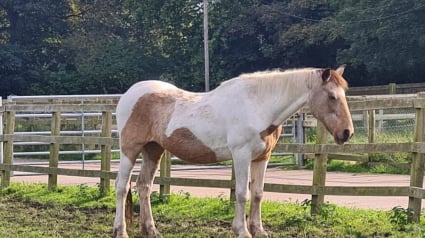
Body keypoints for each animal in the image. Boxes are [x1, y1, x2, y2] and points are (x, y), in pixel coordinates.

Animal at [111, 65, 352, 238]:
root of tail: (129, 94)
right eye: (332, 96)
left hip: (153, 150)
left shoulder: (262, 158)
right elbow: (242, 193)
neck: (257, 105)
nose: (347, 132)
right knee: (122, 187)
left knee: (144, 186)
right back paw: (120, 231)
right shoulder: (241, 155)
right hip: (129, 150)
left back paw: (151, 230)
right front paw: (242, 231)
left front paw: (259, 230)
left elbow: (258, 193)